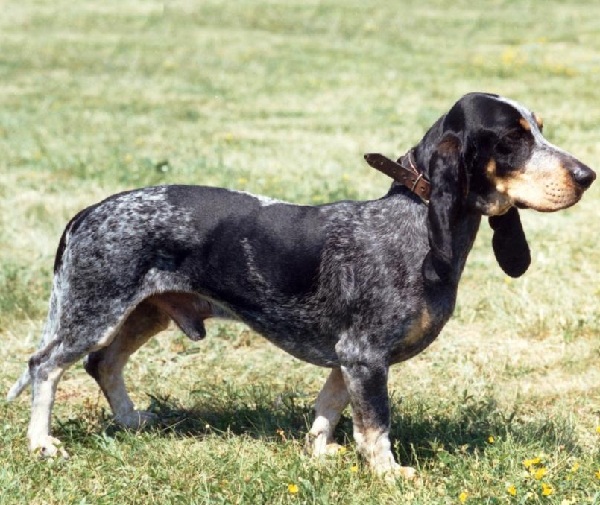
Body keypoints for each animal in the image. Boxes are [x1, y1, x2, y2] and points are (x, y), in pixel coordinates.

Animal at [5, 91, 596, 476]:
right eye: (514, 139)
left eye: (540, 128)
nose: (587, 176)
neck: (413, 221)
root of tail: (85, 213)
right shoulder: (365, 356)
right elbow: (375, 426)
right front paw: (389, 475)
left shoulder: (349, 359)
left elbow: (329, 410)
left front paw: (320, 454)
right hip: (94, 311)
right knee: (45, 366)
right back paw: (42, 444)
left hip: (143, 312)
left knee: (103, 363)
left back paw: (131, 421)